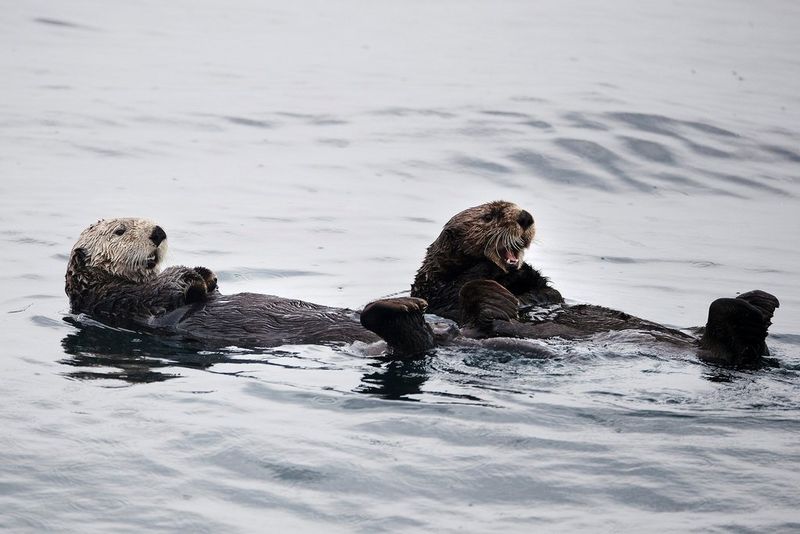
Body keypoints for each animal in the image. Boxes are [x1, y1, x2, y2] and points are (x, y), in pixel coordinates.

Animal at [66, 218, 434, 355]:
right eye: (120, 231)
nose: (158, 231)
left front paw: (206, 274)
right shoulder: (115, 300)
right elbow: (165, 289)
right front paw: (191, 276)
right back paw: (399, 309)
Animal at [411, 201, 780, 369]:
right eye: (490, 215)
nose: (525, 217)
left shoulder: (540, 292)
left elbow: (548, 292)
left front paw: (524, 271)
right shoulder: (438, 292)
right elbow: (460, 285)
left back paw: (759, 303)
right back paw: (750, 309)